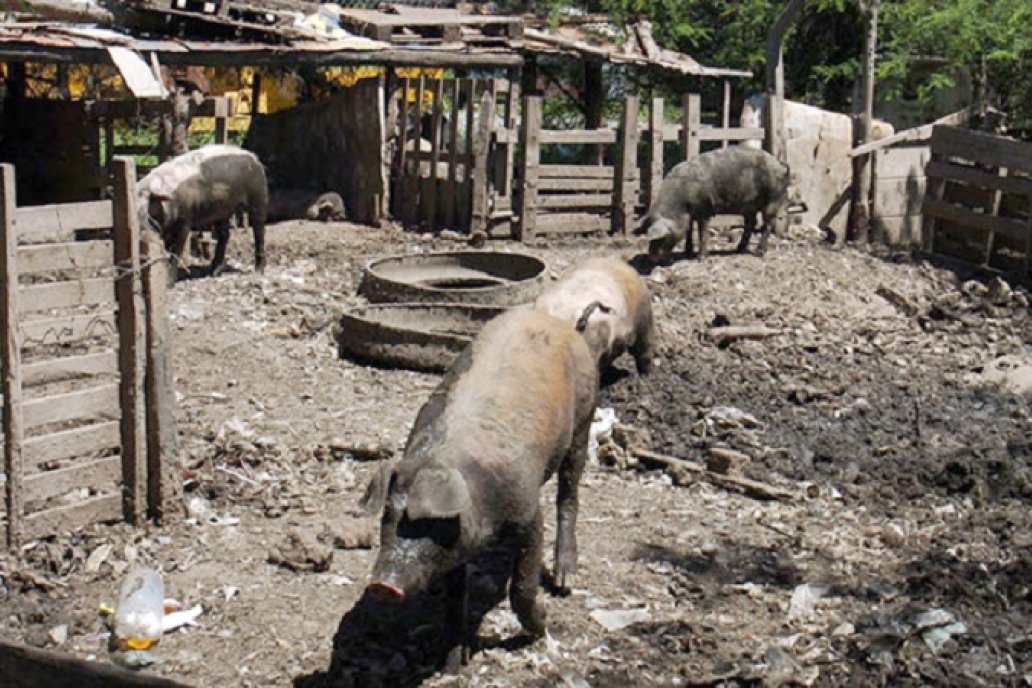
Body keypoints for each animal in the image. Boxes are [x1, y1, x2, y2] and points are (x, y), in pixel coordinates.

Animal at [135, 145, 268, 282]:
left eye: (147, 208)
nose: (144, 228)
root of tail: (254, 157)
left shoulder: (185, 220)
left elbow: (176, 251)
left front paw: (169, 282)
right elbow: (167, 249)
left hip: (258, 195)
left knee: (259, 229)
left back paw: (258, 271)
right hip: (223, 210)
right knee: (224, 234)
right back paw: (214, 272)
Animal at [361, 307, 598, 672]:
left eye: (431, 522)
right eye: (388, 514)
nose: (383, 585)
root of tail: (561, 324)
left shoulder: (529, 513)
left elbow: (522, 586)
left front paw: (541, 625)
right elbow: (455, 598)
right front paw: (452, 666)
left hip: (584, 417)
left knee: (569, 492)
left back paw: (564, 582)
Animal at [639, 146, 792, 261]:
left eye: (661, 238)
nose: (651, 256)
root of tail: (779, 164)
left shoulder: (704, 209)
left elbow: (702, 232)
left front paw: (700, 258)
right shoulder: (690, 214)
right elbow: (689, 230)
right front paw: (687, 253)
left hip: (773, 198)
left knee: (767, 223)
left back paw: (760, 252)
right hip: (749, 205)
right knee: (751, 222)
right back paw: (739, 249)